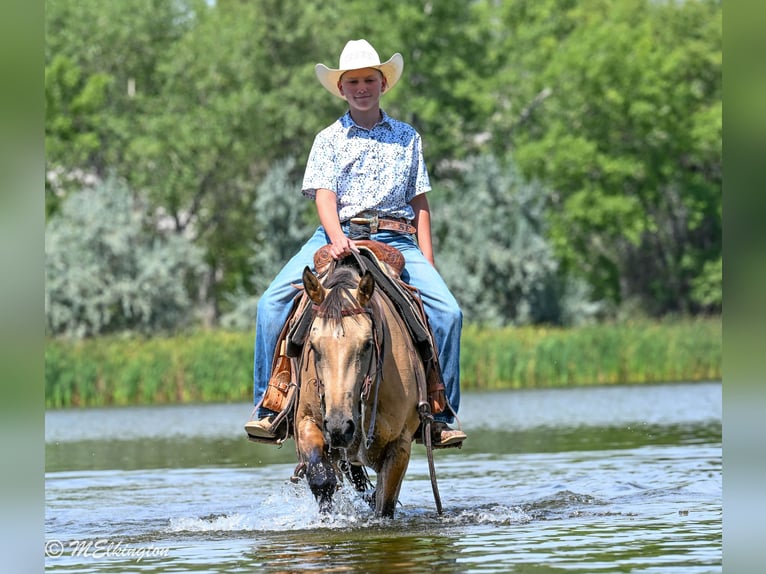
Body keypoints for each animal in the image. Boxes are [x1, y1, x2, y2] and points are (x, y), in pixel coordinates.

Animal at [292, 256, 427, 518]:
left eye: (367, 344)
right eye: (313, 346)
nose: (339, 427)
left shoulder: (400, 446)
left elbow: (385, 504)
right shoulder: (306, 421)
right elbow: (321, 479)